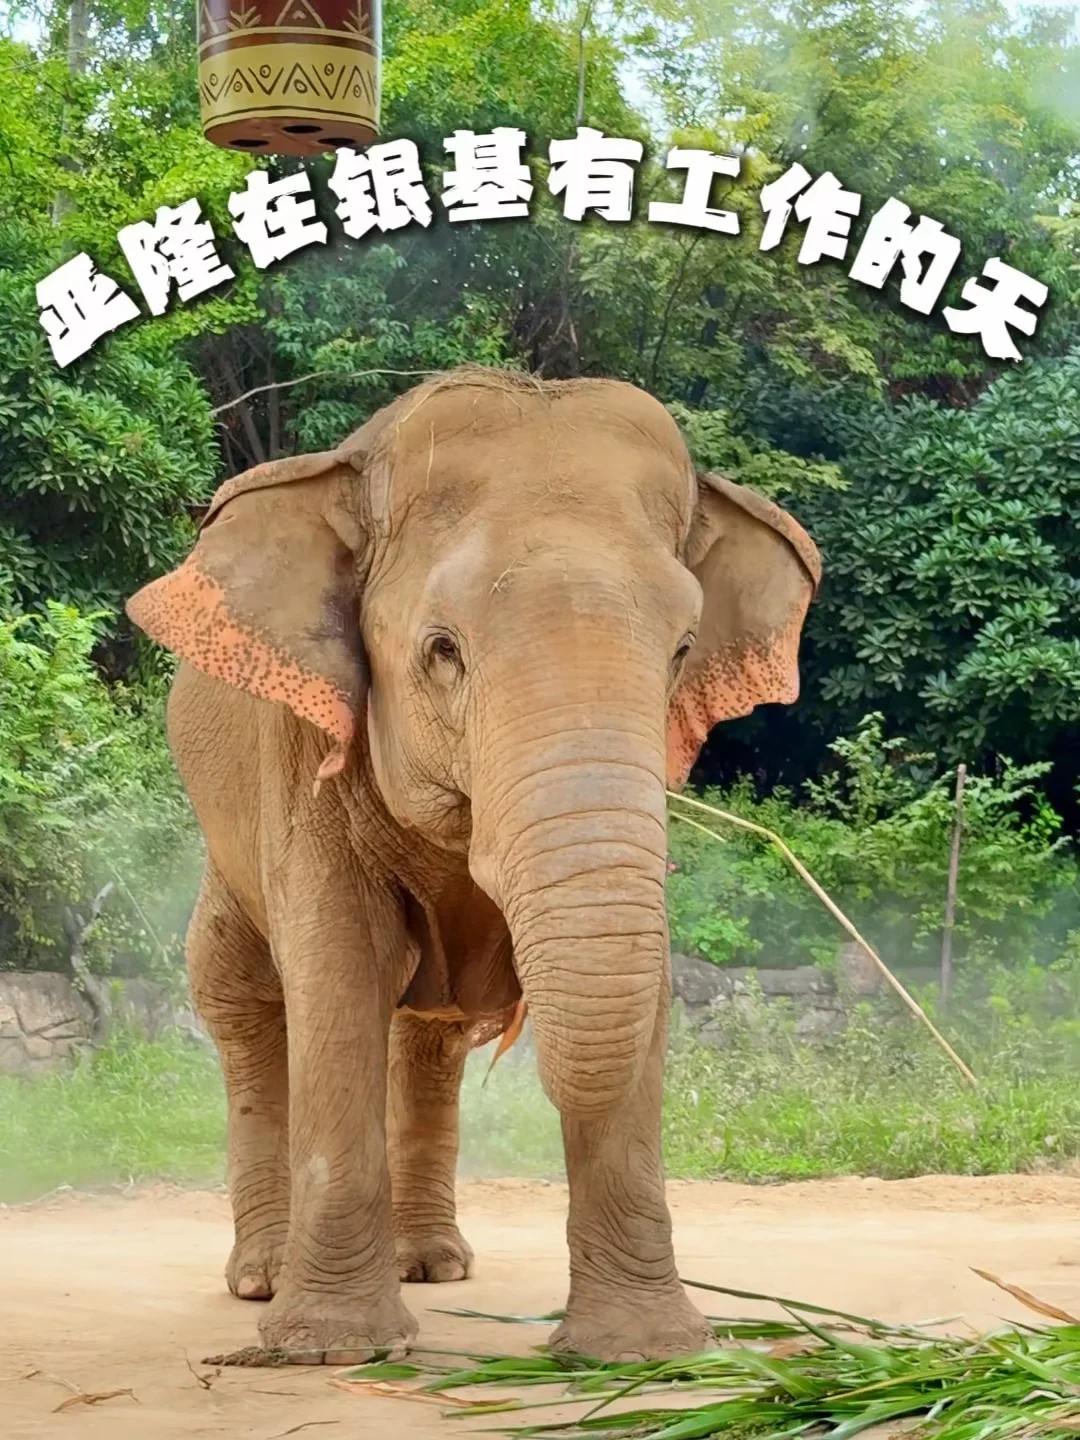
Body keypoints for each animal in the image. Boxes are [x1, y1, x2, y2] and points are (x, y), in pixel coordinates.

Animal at [125, 366, 821, 1365]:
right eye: (441, 651)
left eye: (684, 650)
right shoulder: (303, 756)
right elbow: (339, 971)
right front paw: (332, 1351)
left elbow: (639, 973)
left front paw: (643, 1354)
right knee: (243, 997)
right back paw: (262, 1280)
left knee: (430, 1034)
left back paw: (433, 1268)